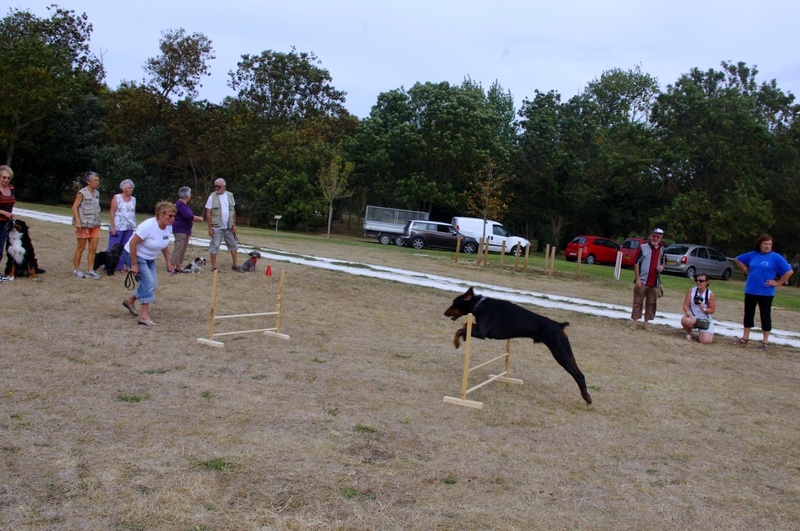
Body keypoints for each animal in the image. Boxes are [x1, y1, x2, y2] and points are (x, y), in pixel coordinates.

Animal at [444, 288, 592, 406]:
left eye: (454, 302)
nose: (444, 313)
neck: (479, 305)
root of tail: (559, 325)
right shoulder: (479, 329)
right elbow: (464, 326)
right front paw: (463, 338)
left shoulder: (482, 333)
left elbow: (460, 330)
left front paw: (457, 342)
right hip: (566, 351)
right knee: (581, 373)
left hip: (560, 353)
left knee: (577, 375)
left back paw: (587, 398)